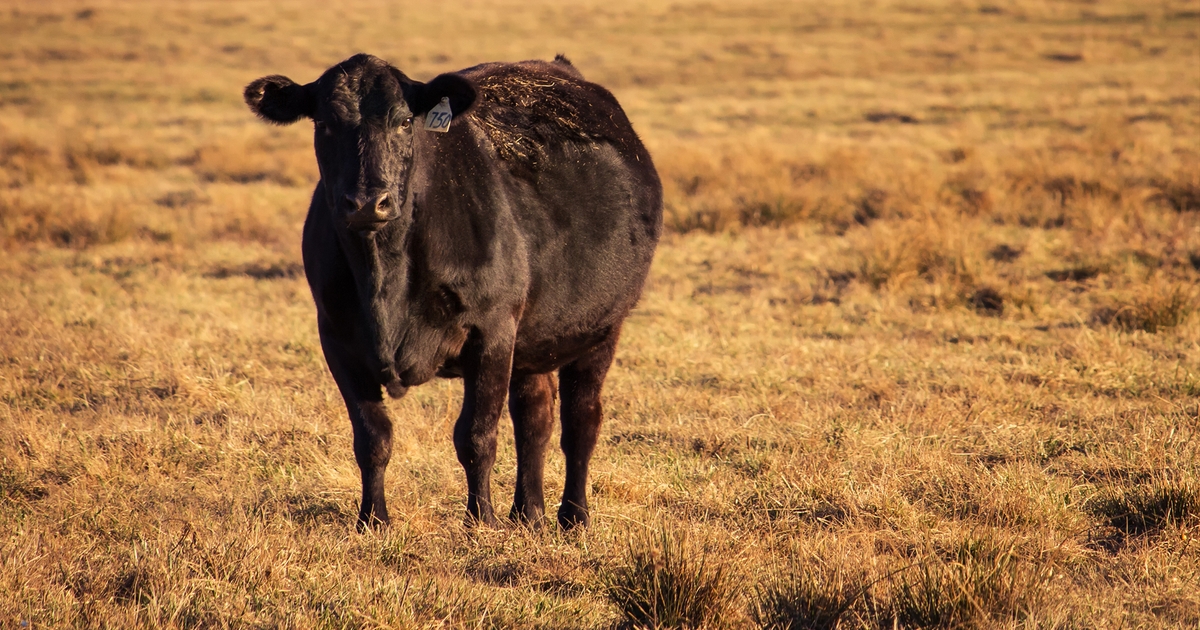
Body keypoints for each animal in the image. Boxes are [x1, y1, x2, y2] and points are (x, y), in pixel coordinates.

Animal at [243, 53, 662, 530]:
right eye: (325, 123)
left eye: (405, 121)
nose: (368, 202)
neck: (384, 278)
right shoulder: (337, 338)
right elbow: (372, 436)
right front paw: (373, 520)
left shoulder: (492, 331)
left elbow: (476, 436)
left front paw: (480, 520)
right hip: (531, 341)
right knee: (534, 417)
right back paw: (528, 513)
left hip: (601, 328)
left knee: (580, 422)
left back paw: (573, 516)